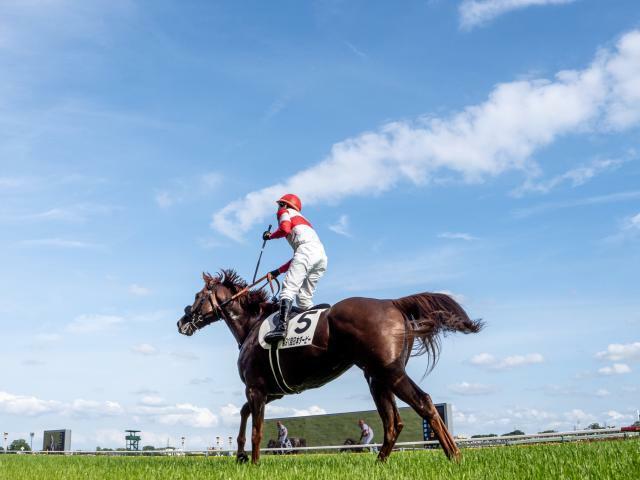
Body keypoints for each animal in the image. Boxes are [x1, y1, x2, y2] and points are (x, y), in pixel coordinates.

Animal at [175, 268, 480, 464]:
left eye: (198, 295)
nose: (181, 322)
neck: (252, 325)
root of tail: (392, 303)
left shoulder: (256, 388)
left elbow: (256, 429)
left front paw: (254, 463)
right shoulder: (271, 391)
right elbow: (243, 413)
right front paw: (239, 455)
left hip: (390, 372)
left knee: (423, 403)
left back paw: (454, 456)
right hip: (376, 377)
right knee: (394, 421)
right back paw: (381, 463)